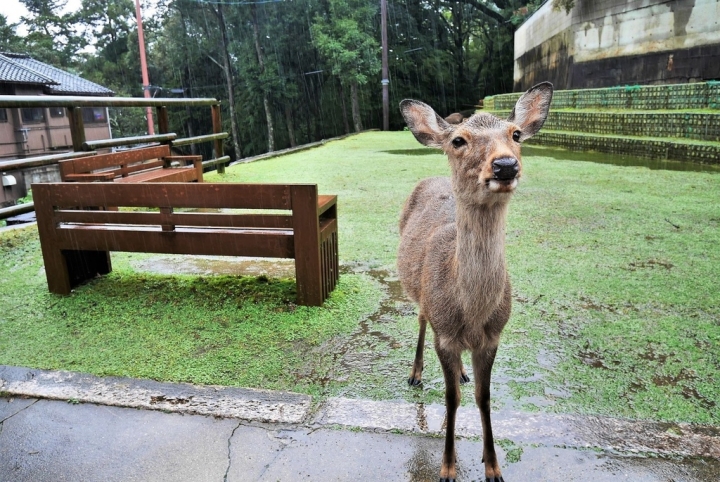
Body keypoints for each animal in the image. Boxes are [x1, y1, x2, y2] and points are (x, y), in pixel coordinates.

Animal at [400, 81, 552, 480]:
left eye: (515, 134)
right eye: (458, 140)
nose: (505, 165)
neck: (471, 314)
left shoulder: (494, 335)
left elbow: (484, 397)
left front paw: (493, 466)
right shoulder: (445, 335)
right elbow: (451, 398)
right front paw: (447, 467)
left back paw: (463, 372)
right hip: (420, 296)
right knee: (420, 319)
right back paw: (415, 374)